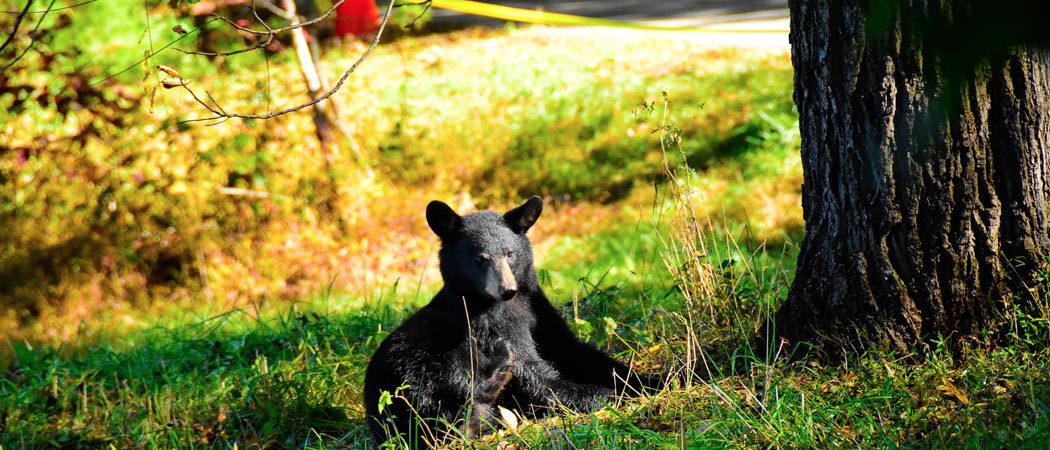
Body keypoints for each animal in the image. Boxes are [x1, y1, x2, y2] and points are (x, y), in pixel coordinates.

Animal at [361, 196, 655, 444]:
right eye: (480, 259)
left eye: (509, 253)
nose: (507, 289)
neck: (507, 305)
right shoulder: (484, 323)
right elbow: (531, 373)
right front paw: (607, 395)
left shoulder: (537, 307)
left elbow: (575, 351)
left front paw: (652, 379)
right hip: (410, 359)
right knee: (438, 383)